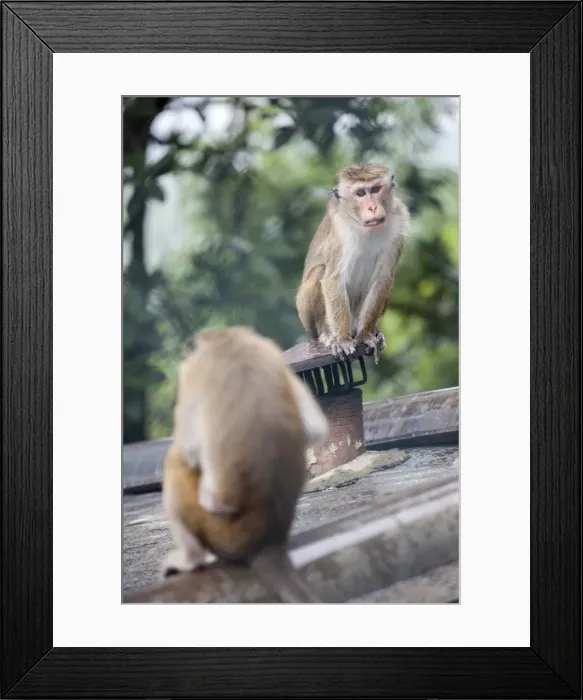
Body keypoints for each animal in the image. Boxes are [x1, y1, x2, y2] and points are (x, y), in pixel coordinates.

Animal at [161, 325, 329, 603]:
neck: (227, 339)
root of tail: (268, 542)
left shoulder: (193, 371)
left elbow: (188, 450)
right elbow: (317, 429)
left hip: (222, 533)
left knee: (175, 463)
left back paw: (190, 560)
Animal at [296, 163, 409, 364]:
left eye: (375, 189)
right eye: (360, 193)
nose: (372, 207)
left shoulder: (398, 222)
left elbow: (383, 279)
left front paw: (365, 334)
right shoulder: (341, 231)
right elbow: (333, 279)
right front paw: (342, 340)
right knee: (319, 272)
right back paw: (327, 334)